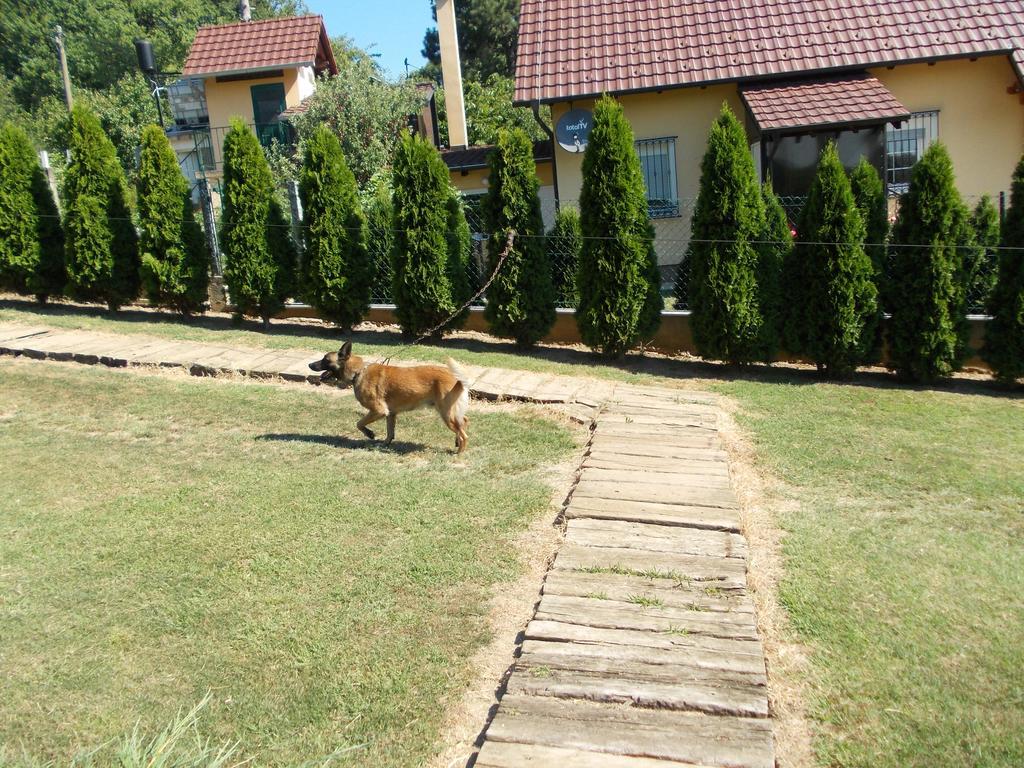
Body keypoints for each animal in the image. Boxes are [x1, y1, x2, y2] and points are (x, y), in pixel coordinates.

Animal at [307, 342, 471, 454]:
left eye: (325, 359)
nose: (309, 364)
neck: (359, 372)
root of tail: (457, 379)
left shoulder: (378, 411)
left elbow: (359, 423)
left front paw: (370, 434)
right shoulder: (390, 414)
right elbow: (389, 432)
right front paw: (385, 444)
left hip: (446, 414)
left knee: (464, 434)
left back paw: (459, 453)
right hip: (452, 413)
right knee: (464, 422)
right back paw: (457, 442)